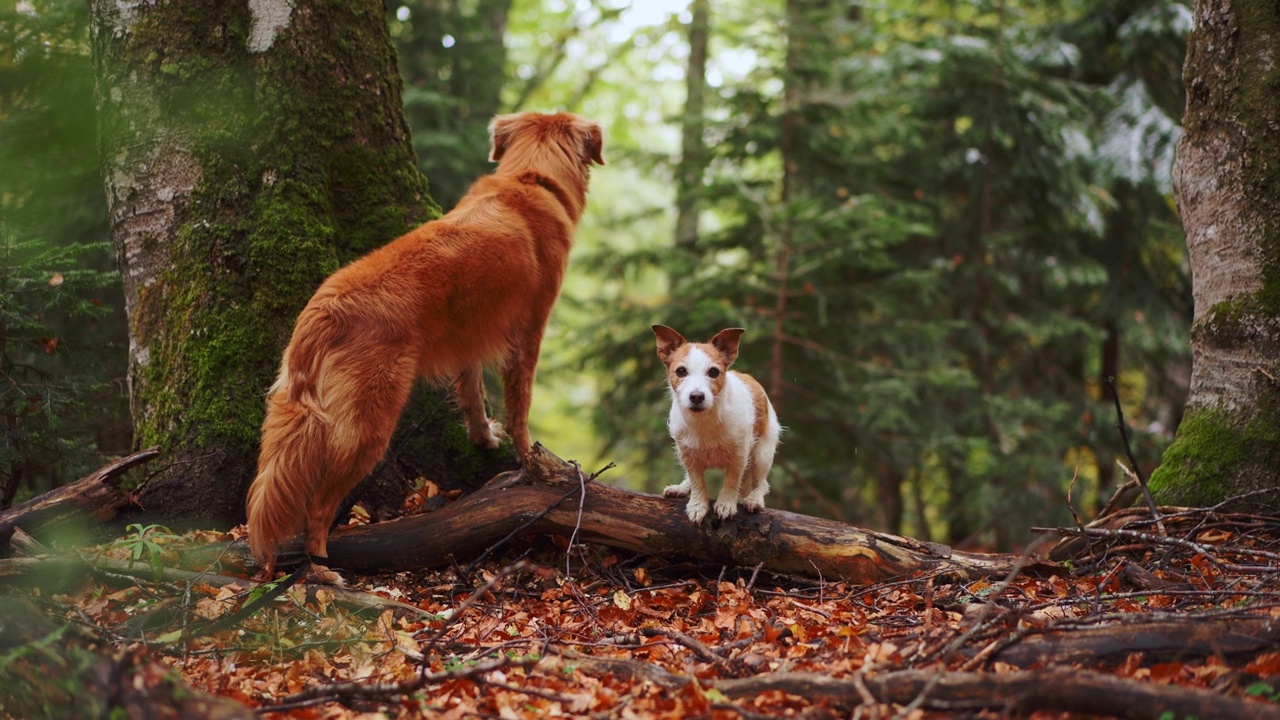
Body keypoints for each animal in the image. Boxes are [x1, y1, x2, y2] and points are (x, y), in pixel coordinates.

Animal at [245, 112, 604, 573]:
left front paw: (483, 437)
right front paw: (528, 459)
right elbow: (520, 407)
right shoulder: (528, 334)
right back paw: (322, 566)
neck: (531, 179)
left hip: (292, 415)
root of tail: (327, 308)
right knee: (319, 508)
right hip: (368, 427)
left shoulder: (469, 337)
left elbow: (472, 394)